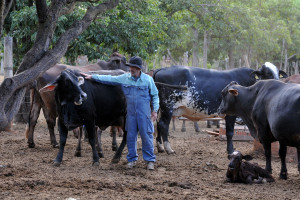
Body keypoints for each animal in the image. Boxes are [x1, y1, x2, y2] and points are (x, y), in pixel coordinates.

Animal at [154, 63, 288, 154]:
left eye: (278, 73)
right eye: (268, 73)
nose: (279, 83)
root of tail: (162, 69)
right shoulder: (231, 114)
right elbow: (230, 133)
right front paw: (230, 151)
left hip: (160, 108)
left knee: (157, 124)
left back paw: (160, 147)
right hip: (168, 107)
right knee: (163, 125)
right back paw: (168, 148)